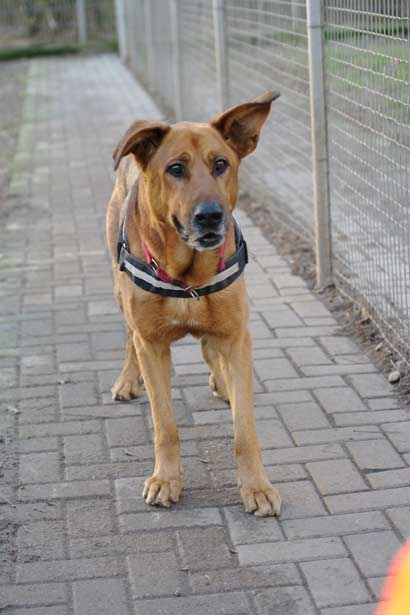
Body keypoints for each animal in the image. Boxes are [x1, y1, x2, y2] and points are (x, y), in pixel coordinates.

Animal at [106, 91, 281, 517]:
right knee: (128, 337)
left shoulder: (237, 336)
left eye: (221, 165)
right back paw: (127, 379)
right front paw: (166, 480)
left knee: (209, 347)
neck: (188, 276)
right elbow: (165, 426)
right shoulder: (152, 345)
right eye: (175, 169)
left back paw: (222, 380)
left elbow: (244, 429)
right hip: (120, 292)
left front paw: (257, 486)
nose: (211, 216)